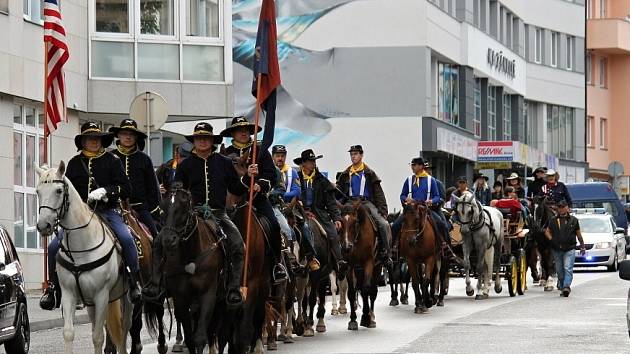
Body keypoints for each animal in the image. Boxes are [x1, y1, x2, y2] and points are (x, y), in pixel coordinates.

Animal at [35, 162, 133, 352]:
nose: (43, 226)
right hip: (91, 303)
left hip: (126, 298)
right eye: (37, 191)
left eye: (59, 190)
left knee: (125, 330)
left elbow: (98, 336)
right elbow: (69, 333)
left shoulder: (101, 295)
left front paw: (98, 193)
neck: (81, 248)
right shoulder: (69, 294)